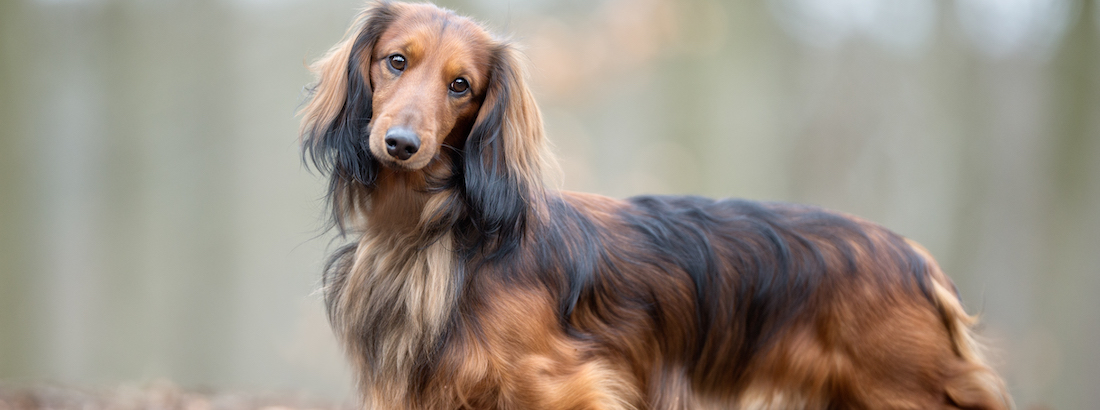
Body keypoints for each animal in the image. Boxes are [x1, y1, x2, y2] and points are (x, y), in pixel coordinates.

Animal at [297, 2, 1007, 406]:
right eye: (396, 61)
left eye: (461, 86)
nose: (401, 145)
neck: (432, 229)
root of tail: (916, 260)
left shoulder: (568, 385)